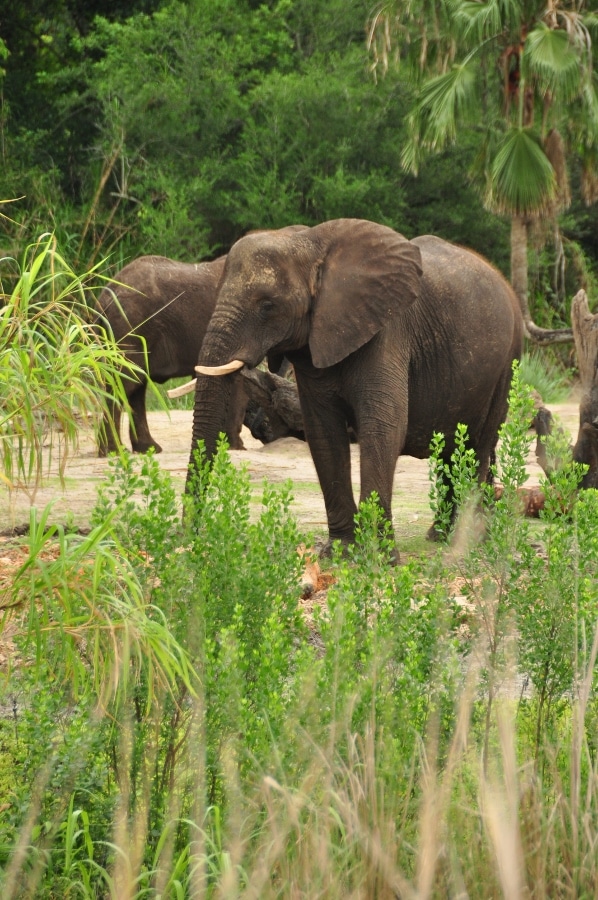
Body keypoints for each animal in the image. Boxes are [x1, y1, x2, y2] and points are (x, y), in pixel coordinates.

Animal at [95, 255, 248, 458]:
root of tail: (105, 295)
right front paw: (236, 446)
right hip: (130, 327)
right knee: (124, 382)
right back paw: (114, 451)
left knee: (135, 385)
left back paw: (147, 449)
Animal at [188, 218, 524, 556]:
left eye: (267, 305)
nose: (189, 536)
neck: (309, 243)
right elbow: (323, 432)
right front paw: (340, 552)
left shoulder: (388, 331)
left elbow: (383, 425)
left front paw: (381, 556)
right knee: (453, 446)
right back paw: (439, 535)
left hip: (508, 361)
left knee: (480, 444)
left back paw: (468, 540)